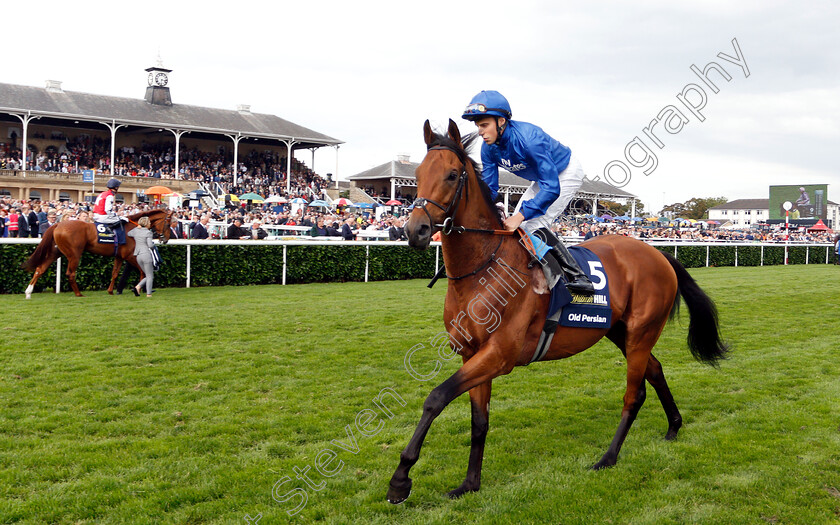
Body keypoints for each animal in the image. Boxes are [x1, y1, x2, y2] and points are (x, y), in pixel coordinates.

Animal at [22, 209, 172, 298]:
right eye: (169, 223)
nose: (166, 239)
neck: (134, 227)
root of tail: (58, 224)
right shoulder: (130, 256)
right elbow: (142, 271)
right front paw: (139, 289)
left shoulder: (119, 256)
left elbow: (115, 273)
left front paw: (111, 291)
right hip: (74, 254)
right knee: (70, 273)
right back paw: (78, 293)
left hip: (55, 252)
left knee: (40, 269)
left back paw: (28, 291)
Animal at [388, 119, 728, 504]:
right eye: (417, 174)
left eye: (451, 174)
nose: (415, 230)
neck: (483, 268)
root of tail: (658, 254)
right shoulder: (471, 354)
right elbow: (479, 421)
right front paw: (470, 483)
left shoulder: (499, 355)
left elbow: (436, 397)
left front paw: (400, 479)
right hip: (620, 331)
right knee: (654, 370)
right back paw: (674, 426)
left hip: (641, 332)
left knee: (634, 393)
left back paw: (608, 457)